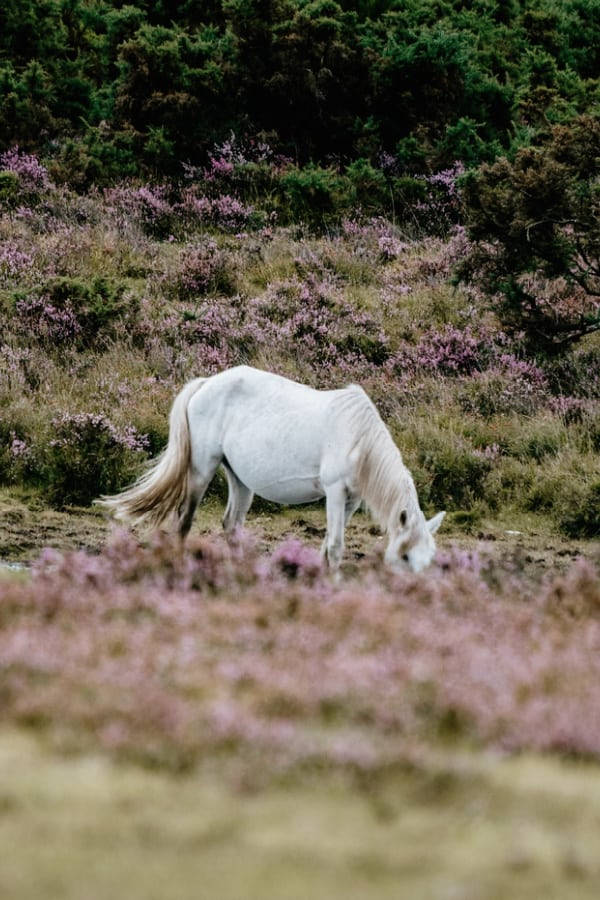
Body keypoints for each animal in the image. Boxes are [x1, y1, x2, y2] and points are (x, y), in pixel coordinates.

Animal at [99, 364, 446, 568]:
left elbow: (327, 544)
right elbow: (335, 545)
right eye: (404, 556)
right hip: (201, 468)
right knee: (185, 520)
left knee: (231, 524)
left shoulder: (351, 500)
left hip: (239, 479)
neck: (357, 437)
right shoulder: (335, 491)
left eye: (429, 558)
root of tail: (206, 383)